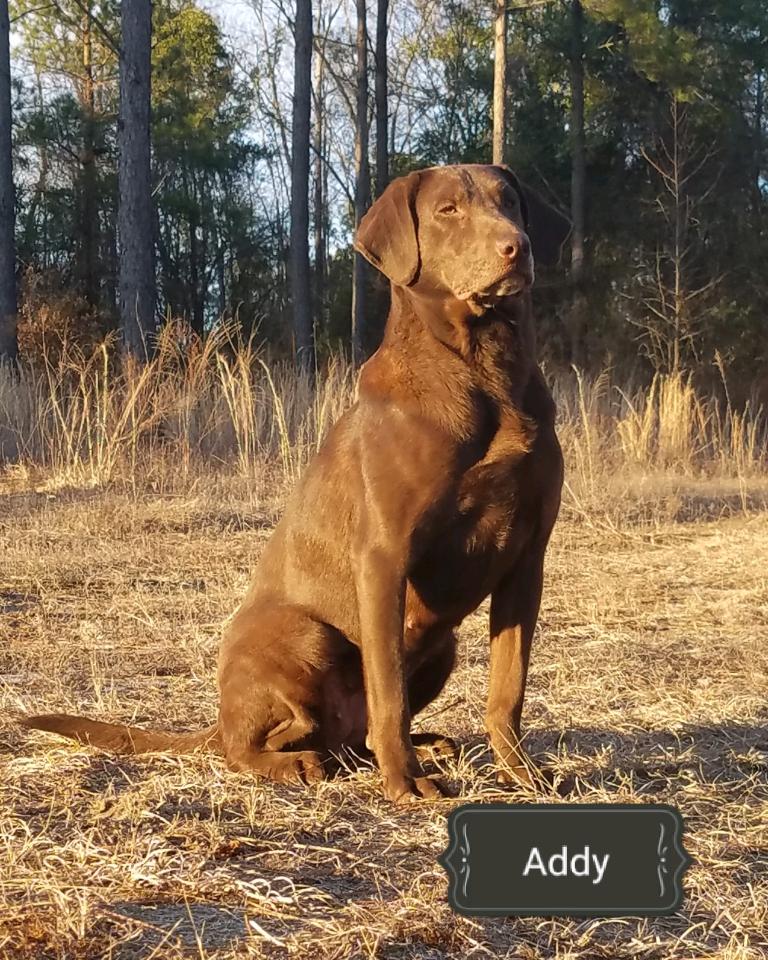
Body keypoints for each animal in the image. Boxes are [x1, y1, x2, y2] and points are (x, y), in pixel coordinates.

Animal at [22, 165, 568, 804]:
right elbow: (389, 690)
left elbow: (507, 689)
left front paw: (521, 773)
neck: (485, 372)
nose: (516, 247)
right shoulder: (384, 556)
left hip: (441, 648)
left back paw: (418, 746)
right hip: (306, 635)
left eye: (510, 202)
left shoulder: (526, 561)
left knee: (352, 736)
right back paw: (306, 763)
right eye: (448, 210)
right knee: (258, 744)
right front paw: (405, 783)